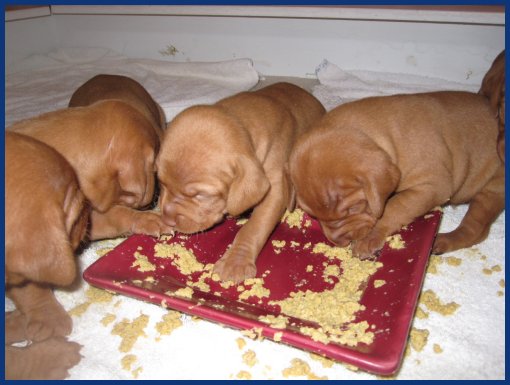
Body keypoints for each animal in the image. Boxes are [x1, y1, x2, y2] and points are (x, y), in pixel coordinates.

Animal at [5, 132, 87, 378]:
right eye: (78, 210)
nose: (89, 214)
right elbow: (14, 360)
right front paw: (51, 357)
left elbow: (30, 287)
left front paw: (46, 318)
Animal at [157, 81, 324, 280]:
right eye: (161, 182)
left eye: (201, 195)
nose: (167, 219)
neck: (240, 120)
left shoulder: (275, 189)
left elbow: (253, 227)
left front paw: (235, 261)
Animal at [288, 90, 504, 258]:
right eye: (313, 216)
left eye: (353, 208)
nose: (339, 241)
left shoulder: (432, 186)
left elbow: (396, 206)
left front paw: (370, 238)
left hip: (493, 189)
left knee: (476, 230)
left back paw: (443, 241)